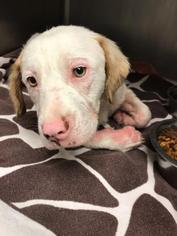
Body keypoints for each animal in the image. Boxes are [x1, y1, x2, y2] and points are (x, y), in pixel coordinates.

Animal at [8, 25, 151, 151]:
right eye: (32, 80)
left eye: (79, 71)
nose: (53, 132)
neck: (102, 106)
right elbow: (89, 138)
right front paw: (122, 137)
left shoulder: (121, 93)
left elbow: (145, 114)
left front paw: (124, 117)